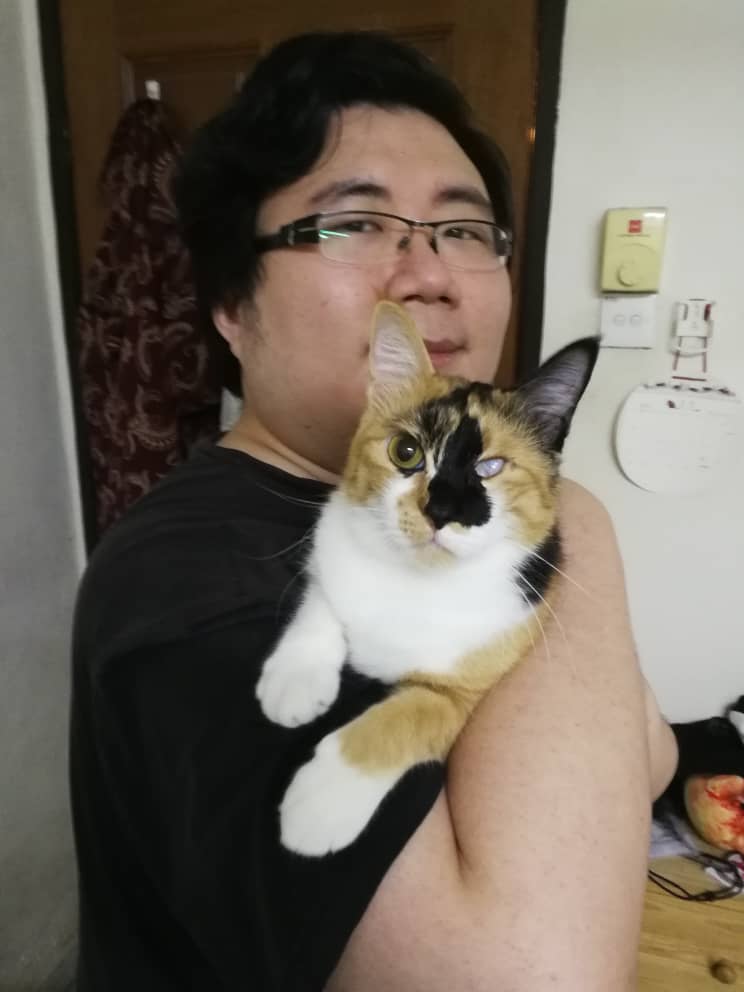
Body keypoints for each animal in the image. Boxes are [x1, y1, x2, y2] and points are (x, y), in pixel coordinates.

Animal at [256, 301, 599, 857]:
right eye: (406, 451)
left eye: (491, 467)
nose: (440, 511)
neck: (417, 580)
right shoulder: (332, 550)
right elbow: (323, 595)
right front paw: (295, 682)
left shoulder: (463, 692)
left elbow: (407, 716)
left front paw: (317, 808)